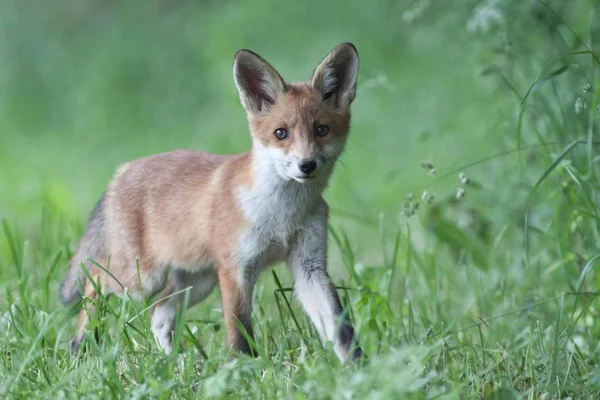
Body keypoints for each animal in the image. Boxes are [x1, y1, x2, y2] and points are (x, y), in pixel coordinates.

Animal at [59, 43, 360, 362]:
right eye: (281, 133)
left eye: (321, 129)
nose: (307, 165)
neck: (282, 216)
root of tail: (121, 171)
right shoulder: (235, 269)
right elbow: (239, 331)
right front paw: (245, 368)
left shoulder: (309, 267)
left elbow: (341, 329)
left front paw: (357, 366)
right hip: (140, 278)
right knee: (94, 277)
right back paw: (79, 345)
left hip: (196, 282)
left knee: (158, 314)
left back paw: (172, 362)